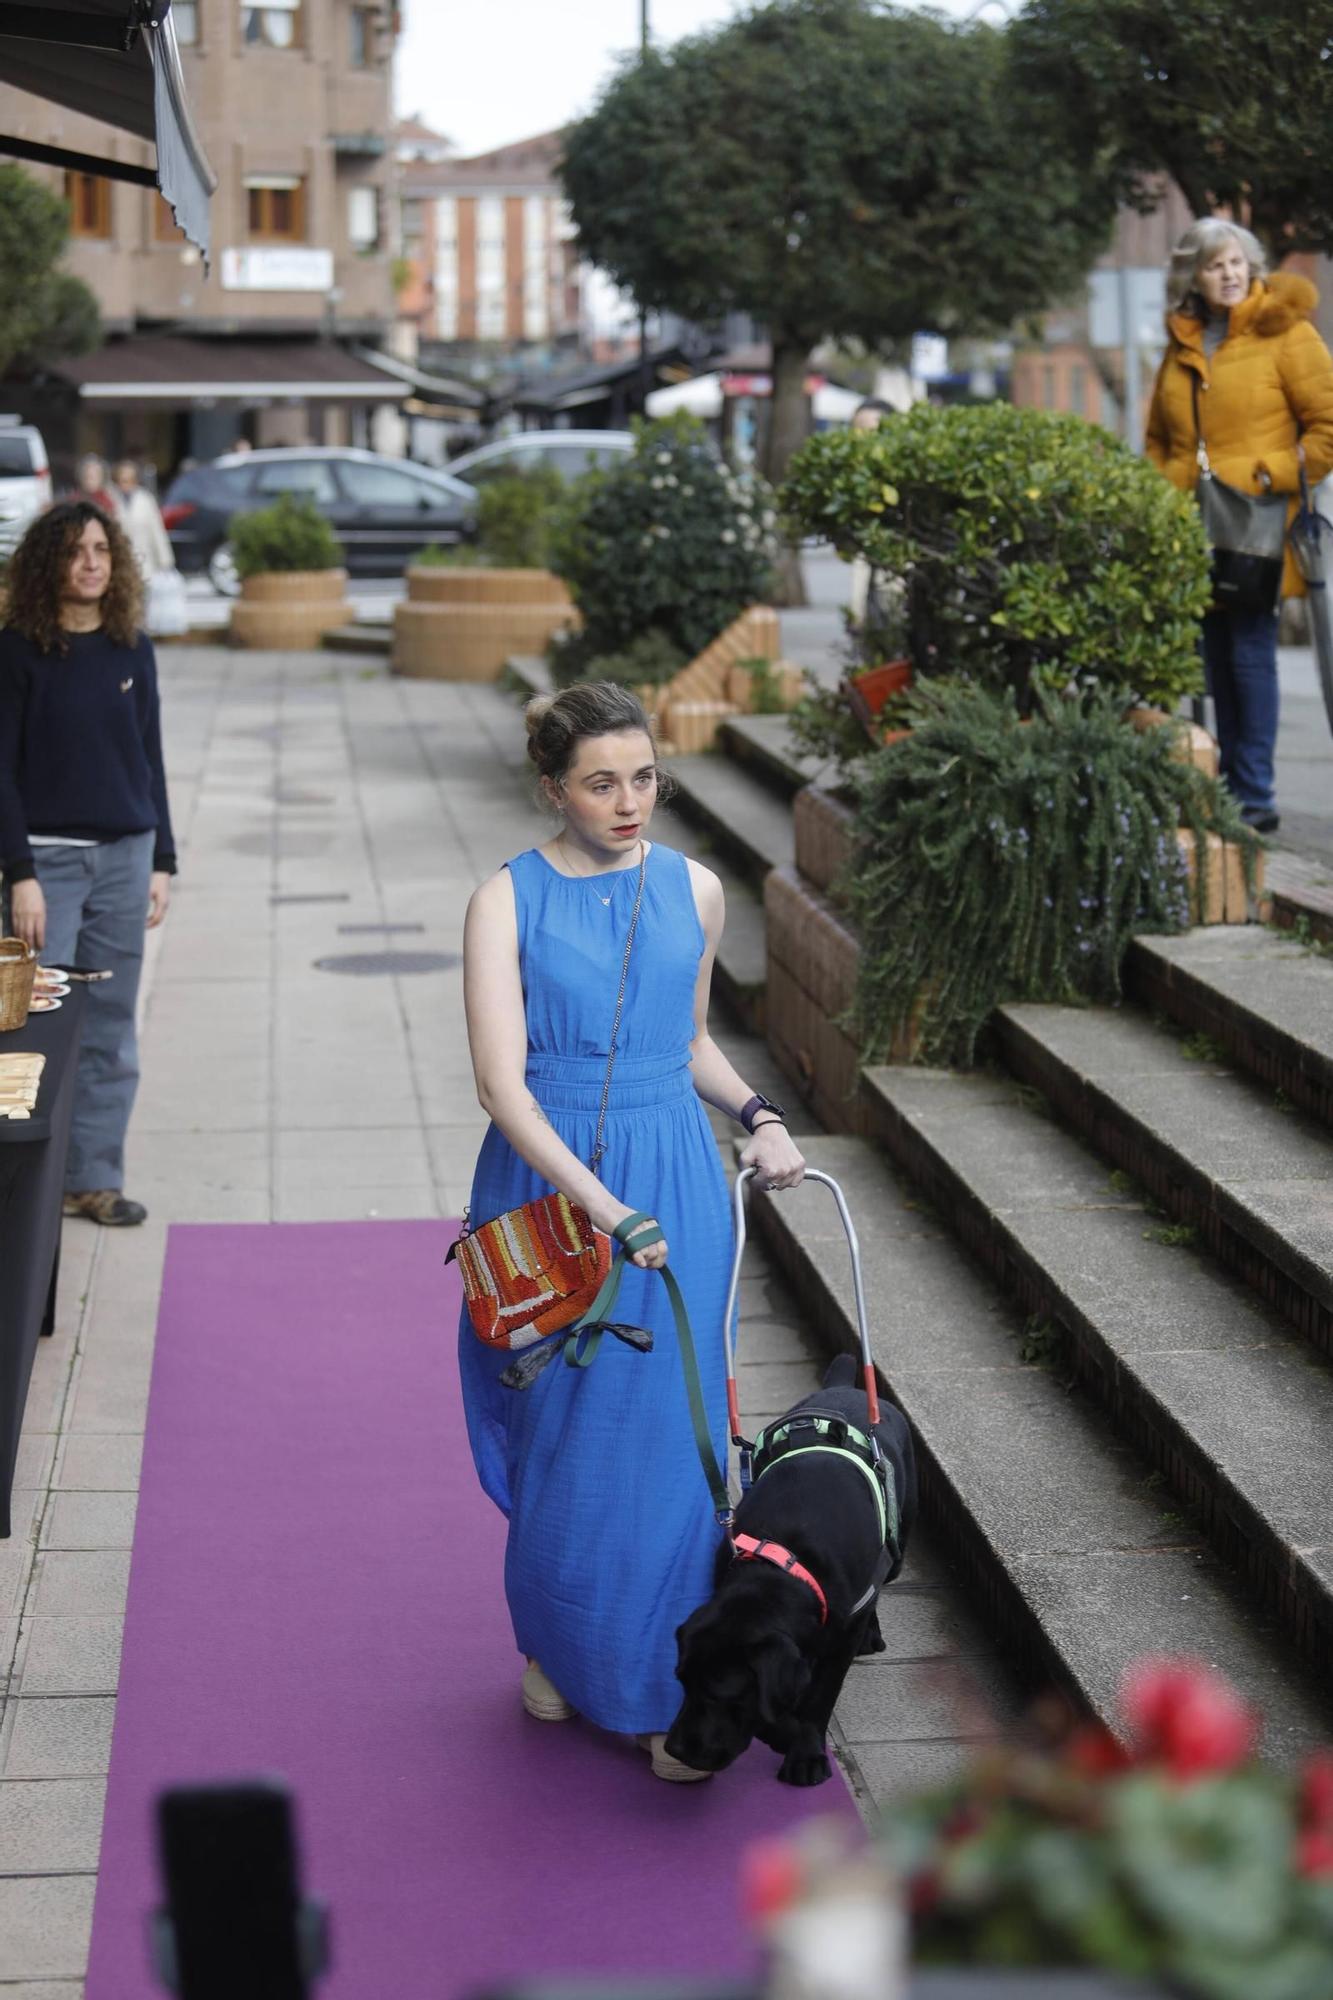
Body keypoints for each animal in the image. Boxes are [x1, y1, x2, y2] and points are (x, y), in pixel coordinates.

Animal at [660, 1352, 912, 1792]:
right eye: (682, 1680)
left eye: (721, 1695)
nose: (674, 1749)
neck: (784, 1562)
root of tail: (845, 1388)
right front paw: (783, 1733)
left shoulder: (840, 1639)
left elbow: (818, 1698)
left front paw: (805, 1753)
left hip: (899, 1543)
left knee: (882, 1580)